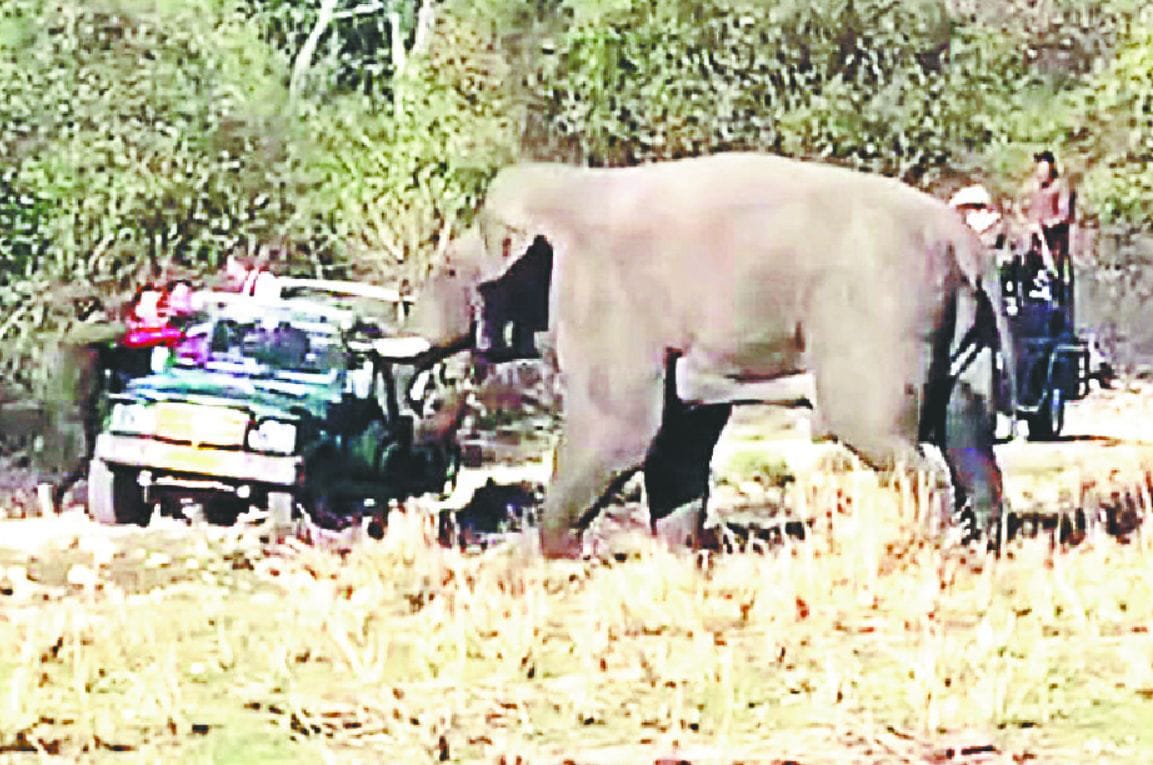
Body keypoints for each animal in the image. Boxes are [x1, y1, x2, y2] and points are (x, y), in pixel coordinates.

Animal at [404, 152, 1015, 559]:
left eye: (448, 271)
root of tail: (966, 243)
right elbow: (679, 439)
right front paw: (678, 555)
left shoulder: (608, 307)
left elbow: (622, 431)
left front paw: (545, 558)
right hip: (967, 336)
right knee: (969, 435)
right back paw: (981, 548)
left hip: (876, 322)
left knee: (885, 436)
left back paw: (926, 550)